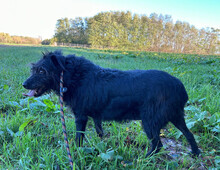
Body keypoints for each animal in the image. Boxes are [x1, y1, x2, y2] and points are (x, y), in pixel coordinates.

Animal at [23, 50, 200, 157]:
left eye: (42, 71)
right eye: (34, 69)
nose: (24, 84)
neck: (73, 76)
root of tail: (179, 86)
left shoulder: (81, 116)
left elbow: (79, 137)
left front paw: (76, 151)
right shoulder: (96, 115)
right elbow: (100, 132)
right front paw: (103, 146)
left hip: (150, 121)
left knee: (158, 145)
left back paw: (142, 159)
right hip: (176, 116)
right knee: (189, 134)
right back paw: (195, 153)